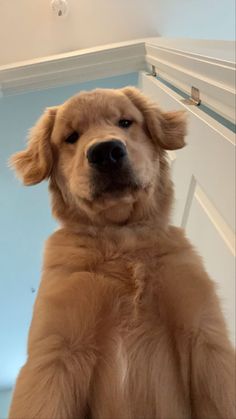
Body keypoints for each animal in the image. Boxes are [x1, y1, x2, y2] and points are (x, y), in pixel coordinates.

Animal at [8, 87, 235, 418]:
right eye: (71, 137)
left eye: (125, 122)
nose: (105, 152)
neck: (122, 241)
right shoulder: (55, 354)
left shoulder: (205, 337)